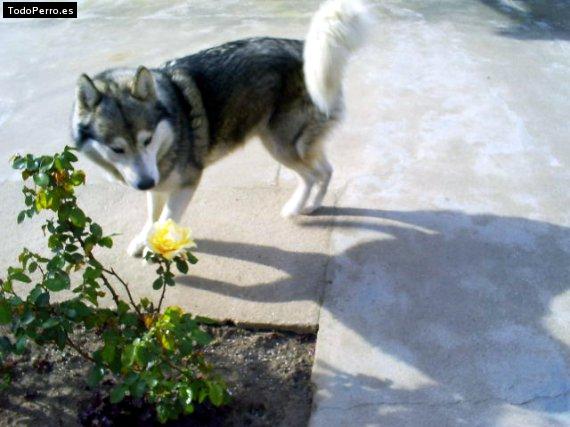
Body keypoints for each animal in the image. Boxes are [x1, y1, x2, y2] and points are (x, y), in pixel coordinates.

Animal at [70, 0, 368, 258]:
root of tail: (304, 49)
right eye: (116, 148)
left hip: (280, 145)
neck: (171, 129)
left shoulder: (187, 182)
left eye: (148, 139)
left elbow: (166, 218)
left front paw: (156, 249)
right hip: (301, 143)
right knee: (325, 171)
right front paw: (144, 239)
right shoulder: (158, 184)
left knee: (310, 175)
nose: (144, 183)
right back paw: (314, 205)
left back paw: (294, 208)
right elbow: (153, 216)